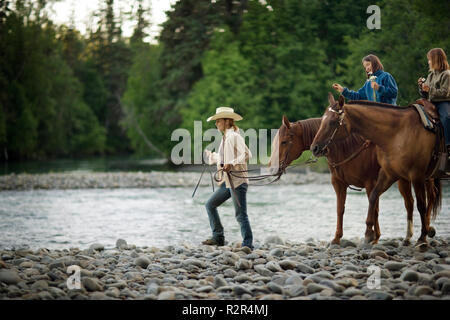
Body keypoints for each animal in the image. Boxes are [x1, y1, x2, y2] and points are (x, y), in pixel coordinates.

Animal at [268, 114, 416, 244]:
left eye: (284, 142)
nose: (272, 166)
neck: (348, 147)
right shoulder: (339, 184)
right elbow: (340, 209)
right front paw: (337, 238)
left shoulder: (371, 183)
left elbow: (374, 208)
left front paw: (373, 237)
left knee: (410, 203)